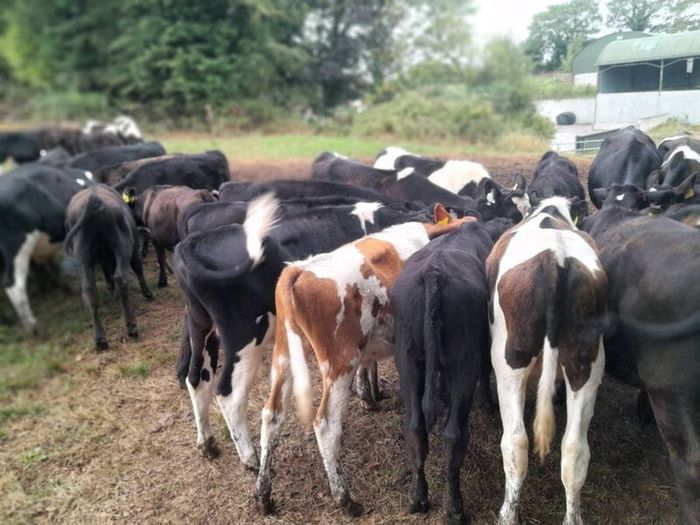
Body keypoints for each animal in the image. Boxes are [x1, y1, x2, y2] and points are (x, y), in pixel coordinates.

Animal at [64, 185, 153, 349]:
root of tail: (93, 198)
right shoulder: (134, 245)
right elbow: (137, 267)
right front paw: (147, 293)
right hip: (123, 246)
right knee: (121, 278)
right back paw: (131, 327)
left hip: (83, 258)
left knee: (89, 289)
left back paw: (100, 339)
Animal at [174, 196, 434, 469]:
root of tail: (191, 243)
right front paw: (369, 395)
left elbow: (367, 362)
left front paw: (369, 395)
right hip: (245, 337)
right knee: (229, 395)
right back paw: (250, 458)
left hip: (201, 327)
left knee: (197, 379)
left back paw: (208, 444)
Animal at [254, 204, 478, 517]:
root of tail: (298, 269)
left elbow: (368, 365)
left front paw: (369, 395)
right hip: (339, 363)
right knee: (326, 424)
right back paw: (345, 499)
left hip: (284, 356)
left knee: (271, 416)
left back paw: (263, 495)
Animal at [391, 218, 511, 523]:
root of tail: (433, 273)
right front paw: (488, 403)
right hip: (463, 362)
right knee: (454, 435)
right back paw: (454, 507)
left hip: (407, 360)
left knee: (415, 426)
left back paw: (418, 497)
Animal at [486, 197, 607, 525]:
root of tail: (557, 260)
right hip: (586, 362)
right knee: (574, 447)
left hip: (509, 361)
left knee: (515, 441)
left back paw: (507, 514)